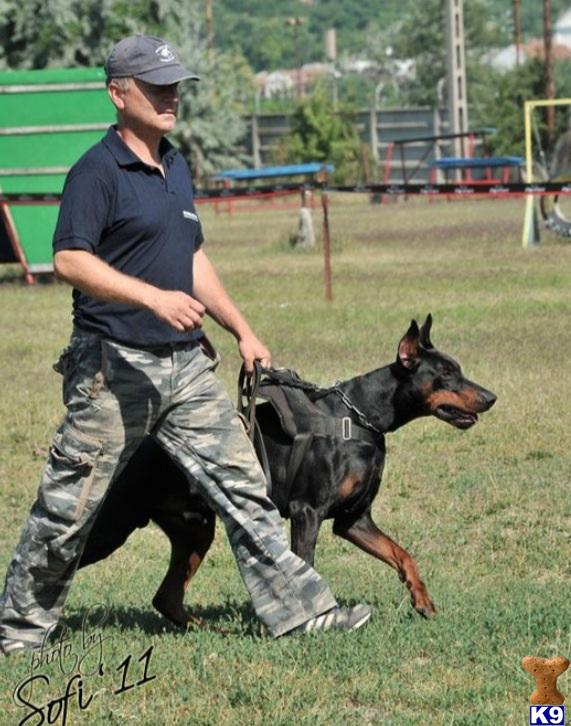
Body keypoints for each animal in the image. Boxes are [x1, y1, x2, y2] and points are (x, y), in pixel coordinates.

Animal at [79, 316, 496, 628]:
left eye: (458, 369)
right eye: (446, 373)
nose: (490, 397)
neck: (363, 419)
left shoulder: (354, 519)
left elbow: (402, 554)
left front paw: (422, 600)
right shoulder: (306, 511)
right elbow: (306, 564)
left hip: (193, 529)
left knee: (166, 597)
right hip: (115, 525)